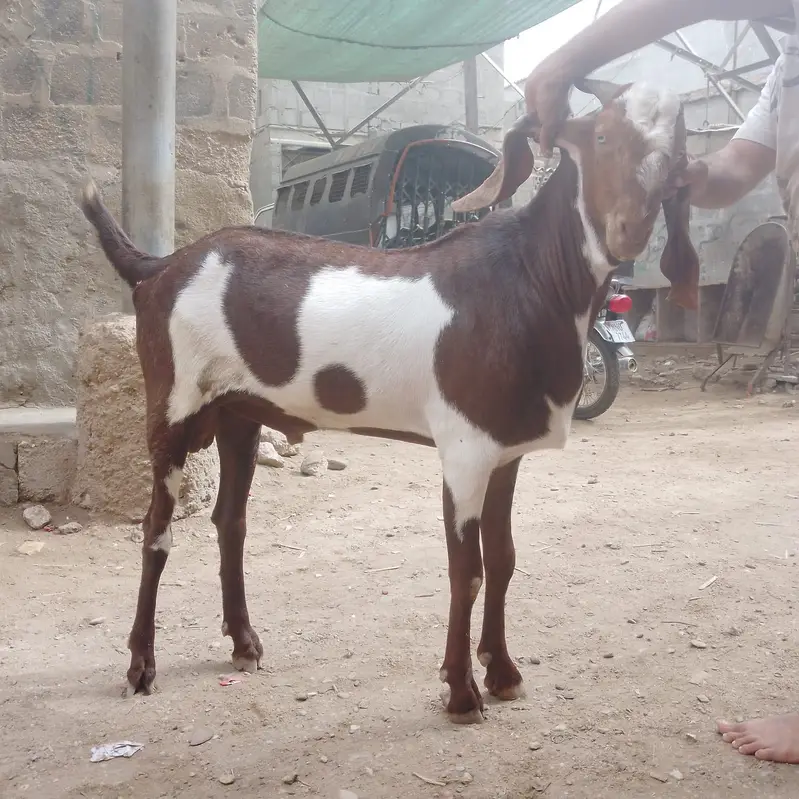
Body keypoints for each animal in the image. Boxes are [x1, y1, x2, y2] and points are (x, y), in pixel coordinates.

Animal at [81, 78, 699, 724]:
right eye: (600, 136)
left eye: (678, 150)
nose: (629, 231)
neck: (527, 280)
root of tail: (160, 267)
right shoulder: (464, 451)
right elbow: (467, 570)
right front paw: (461, 692)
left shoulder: (505, 451)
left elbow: (503, 559)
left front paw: (503, 673)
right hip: (173, 405)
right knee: (156, 529)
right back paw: (141, 665)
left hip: (239, 414)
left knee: (231, 521)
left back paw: (245, 643)